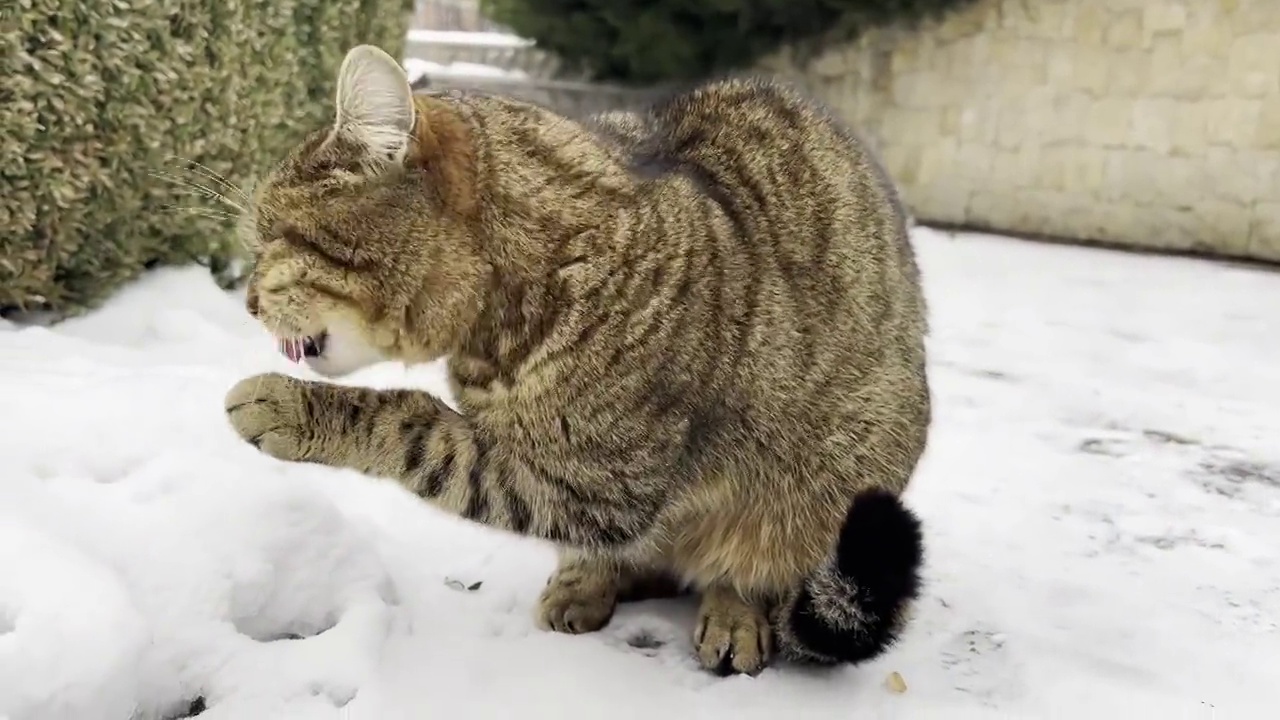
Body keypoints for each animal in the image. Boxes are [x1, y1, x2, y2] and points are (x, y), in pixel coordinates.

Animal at [227, 43, 931, 671]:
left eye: (275, 239)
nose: (248, 303)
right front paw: (586, 574)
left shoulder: (595, 483)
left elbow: (417, 428)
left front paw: (288, 405)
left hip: (833, 482)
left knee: (755, 564)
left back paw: (734, 609)